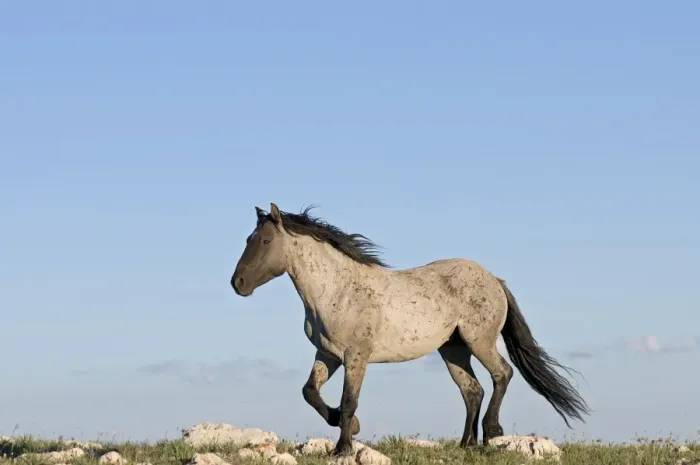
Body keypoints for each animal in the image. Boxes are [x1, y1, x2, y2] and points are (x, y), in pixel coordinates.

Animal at [230, 203, 590, 456]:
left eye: (265, 240)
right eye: (248, 239)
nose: (238, 284)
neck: (336, 290)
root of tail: (494, 280)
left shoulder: (356, 357)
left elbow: (349, 401)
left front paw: (343, 447)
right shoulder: (328, 354)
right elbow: (310, 392)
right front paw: (345, 429)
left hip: (480, 341)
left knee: (502, 374)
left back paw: (492, 432)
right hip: (453, 349)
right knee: (472, 390)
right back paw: (466, 444)